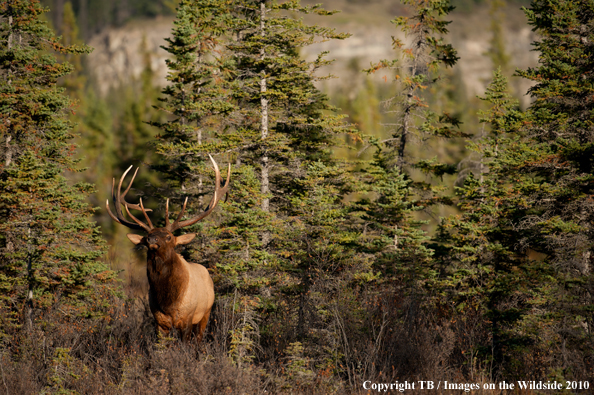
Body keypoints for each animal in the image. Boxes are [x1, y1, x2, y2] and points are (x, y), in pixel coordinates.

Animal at [105, 155, 228, 344]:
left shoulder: (187, 319)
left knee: (199, 341)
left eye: (169, 236)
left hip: (205, 314)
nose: (151, 239)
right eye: (147, 235)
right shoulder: (159, 322)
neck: (168, 301)